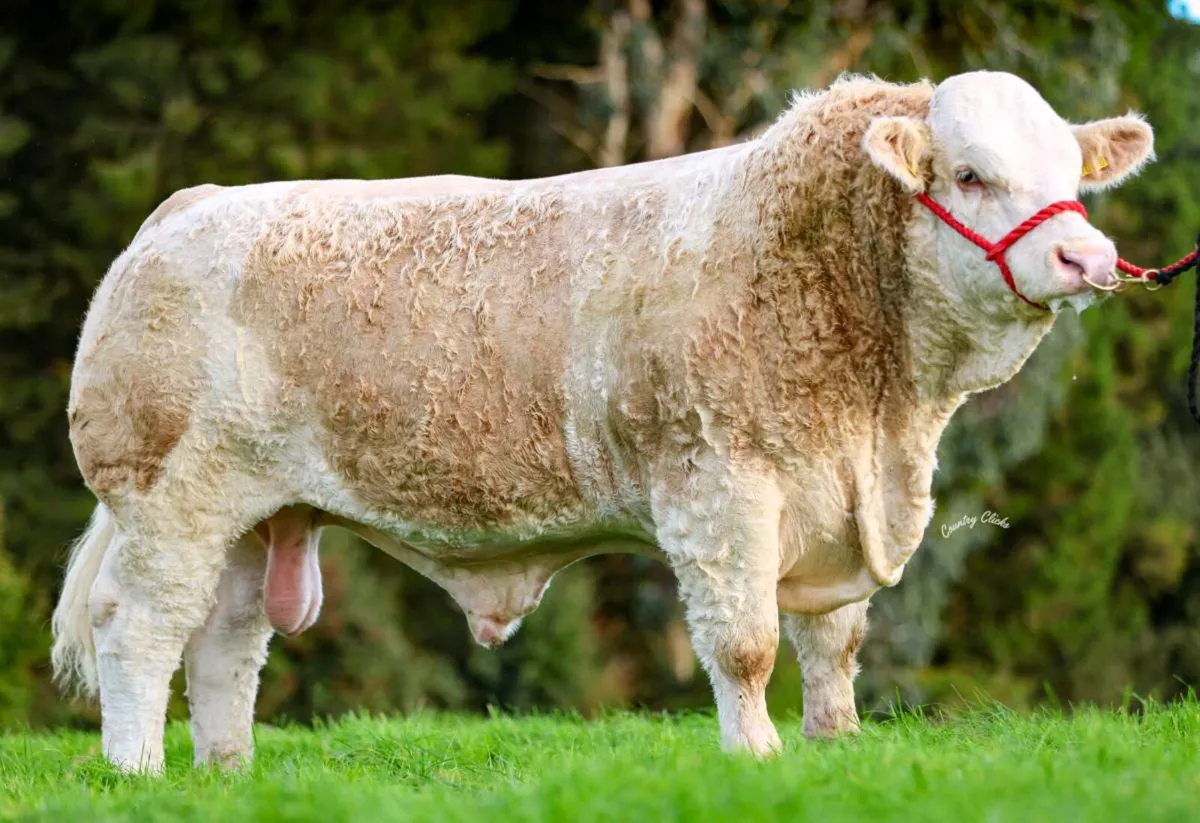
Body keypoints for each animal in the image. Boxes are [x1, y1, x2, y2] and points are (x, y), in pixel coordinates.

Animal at [51, 70, 1153, 772]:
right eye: (971, 173)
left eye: (1071, 177)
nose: (1088, 258)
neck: (879, 413)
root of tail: (191, 205)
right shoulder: (719, 487)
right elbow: (747, 643)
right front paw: (756, 755)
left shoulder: (835, 498)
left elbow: (833, 645)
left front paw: (836, 747)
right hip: (171, 495)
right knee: (139, 623)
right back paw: (140, 769)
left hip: (255, 513)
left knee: (224, 642)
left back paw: (226, 770)